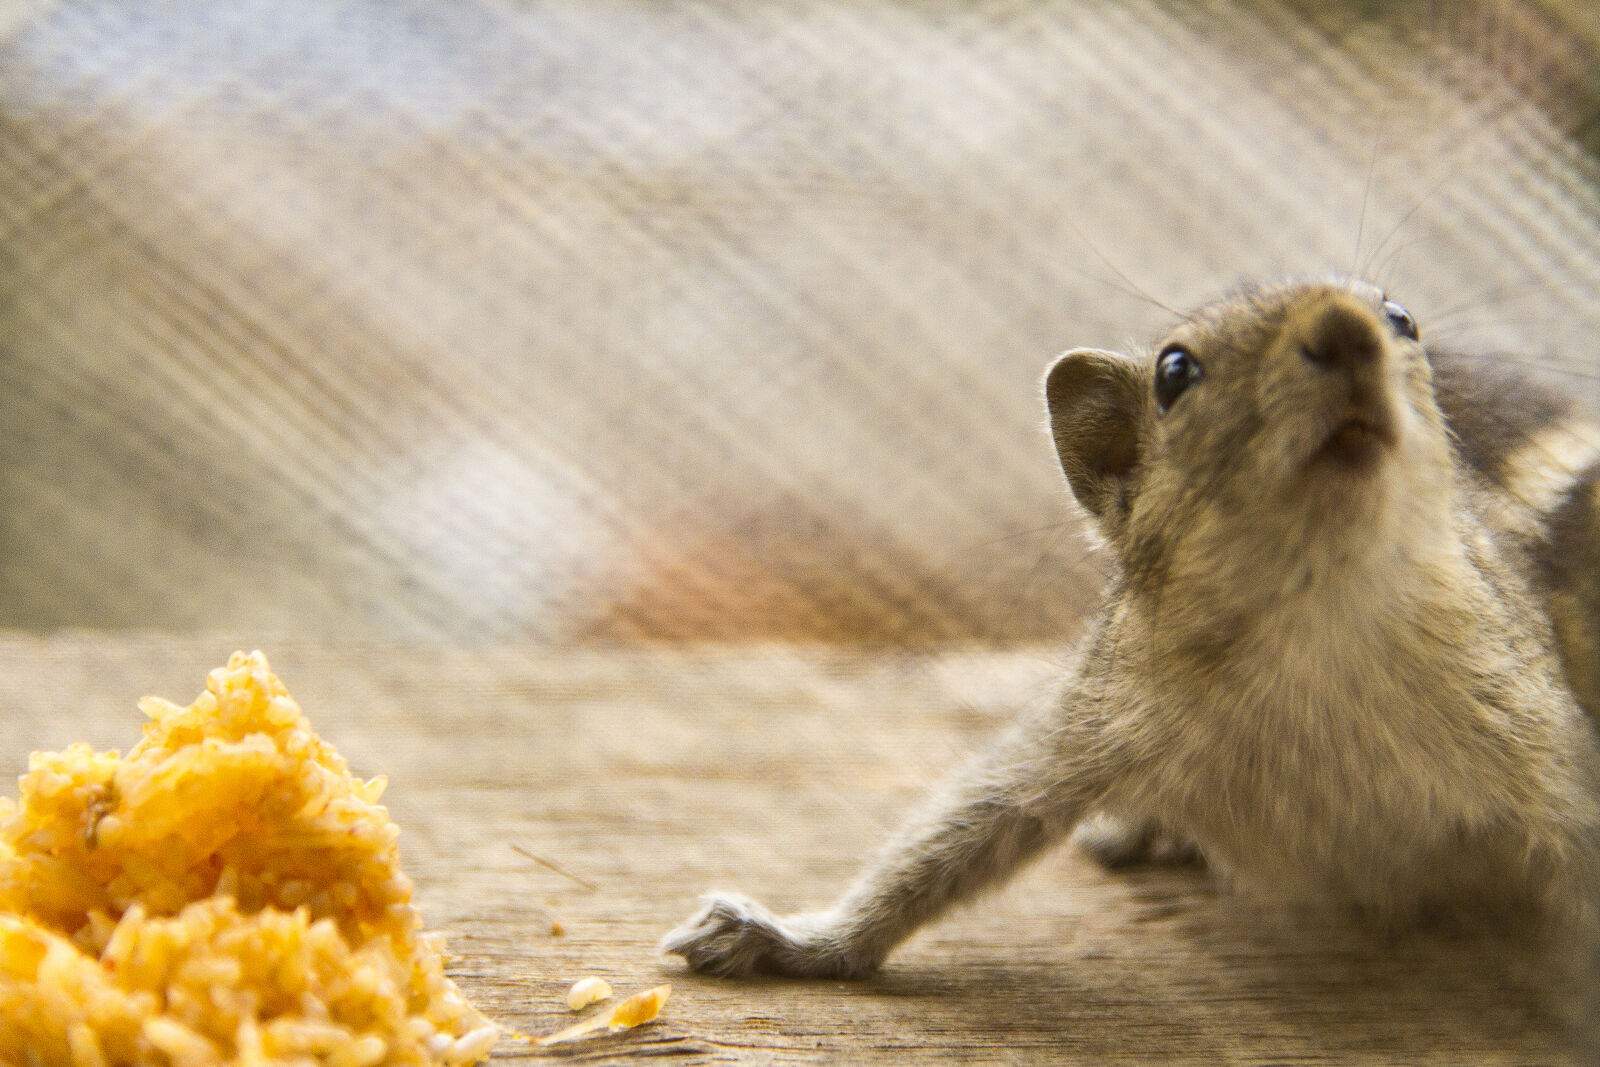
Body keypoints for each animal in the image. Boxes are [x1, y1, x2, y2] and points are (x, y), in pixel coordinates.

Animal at [660, 278, 1600, 980]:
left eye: (1401, 317)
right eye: (1175, 371)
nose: (1349, 328)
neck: (1319, 615)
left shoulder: (1546, 752)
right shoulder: (1101, 714)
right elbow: (958, 831)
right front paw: (797, 939)